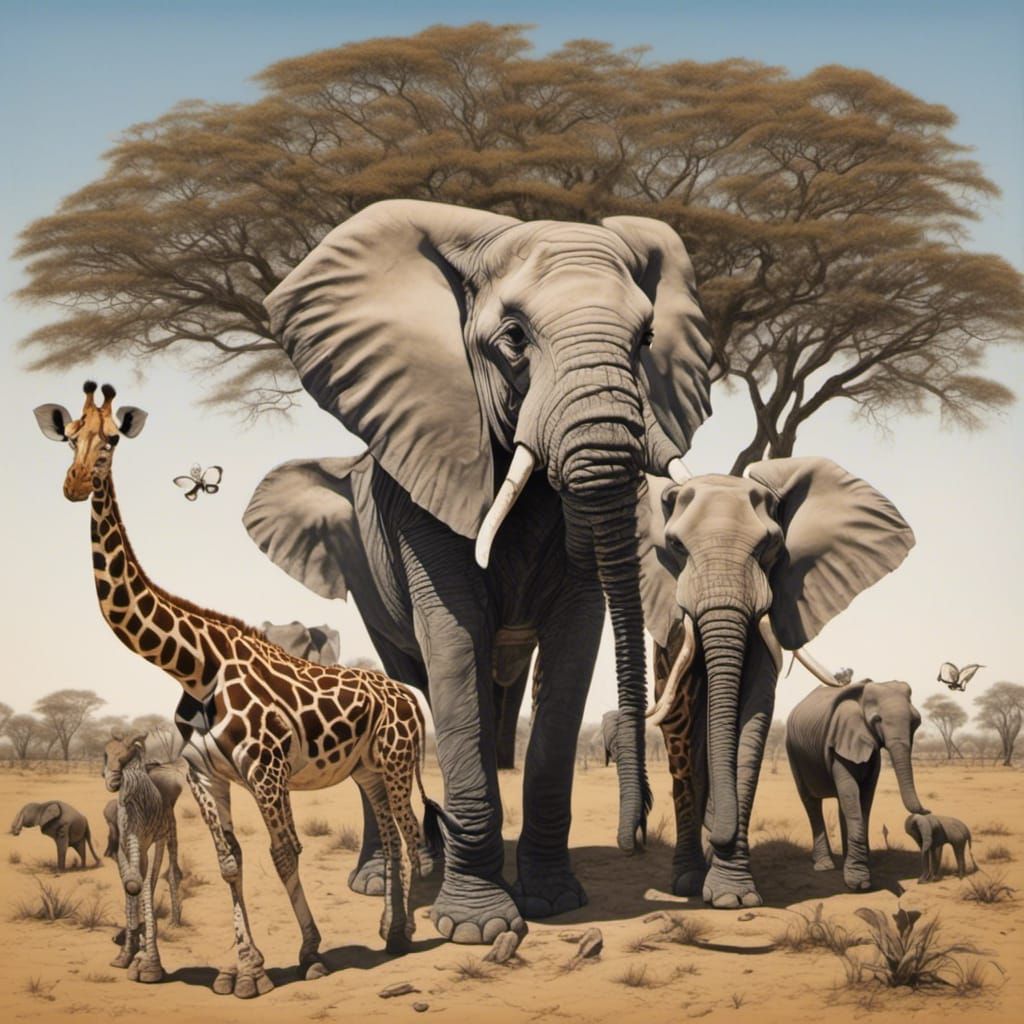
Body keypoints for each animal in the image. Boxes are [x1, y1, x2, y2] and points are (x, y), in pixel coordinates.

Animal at [34, 382, 441, 999]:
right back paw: (391, 932)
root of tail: (408, 696)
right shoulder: (206, 776)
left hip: (396, 761)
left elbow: (285, 852)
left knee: (410, 830)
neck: (193, 666)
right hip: (366, 769)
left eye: (111, 440)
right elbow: (230, 861)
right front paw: (244, 968)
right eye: (70, 437)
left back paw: (406, 935)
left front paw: (309, 954)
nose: (76, 484)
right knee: (393, 835)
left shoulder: (267, 772)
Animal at [244, 198, 714, 941]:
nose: (633, 840)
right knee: (413, 681)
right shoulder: (426, 471)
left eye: (645, 340)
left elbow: (573, 647)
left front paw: (553, 902)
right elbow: (454, 638)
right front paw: (479, 927)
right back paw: (396, 874)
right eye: (514, 338)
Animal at [786, 680, 929, 891]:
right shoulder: (841, 738)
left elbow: (865, 798)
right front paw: (859, 882)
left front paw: (863, 866)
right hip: (793, 752)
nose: (927, 811)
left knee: (840, 802)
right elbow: (851, 793)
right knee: (811, 803)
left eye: (914, 721)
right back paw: (824, 865)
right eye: (877, 720)